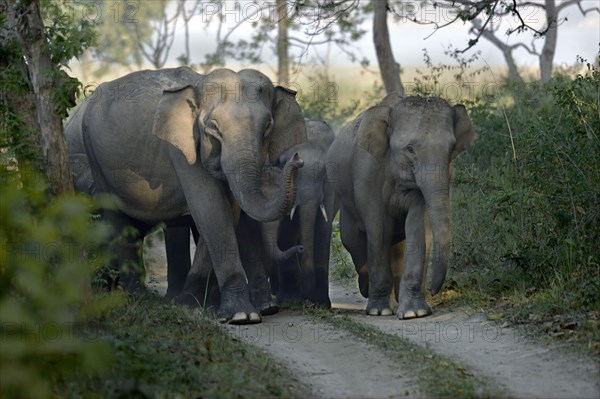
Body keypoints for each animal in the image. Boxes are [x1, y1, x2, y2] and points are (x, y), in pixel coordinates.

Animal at [65, 68, 308, 324]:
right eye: (213, 127)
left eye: (268, 127)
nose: (298, 159)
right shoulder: (182, 149)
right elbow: (210, 209)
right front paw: (239, 315)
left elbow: (227, 213)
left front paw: (198, 305)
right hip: (95, 157)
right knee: (116, 216)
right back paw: (134, 296)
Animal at [326, 93, 476, 318]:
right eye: (410, 149)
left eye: (451, 148)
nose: (432, 289)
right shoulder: (367, 174)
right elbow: (379, 229)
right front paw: (379, 311)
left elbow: (417, 225)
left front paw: (415, 313)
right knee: (353, 241)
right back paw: (368, 291)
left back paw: (395, 302)